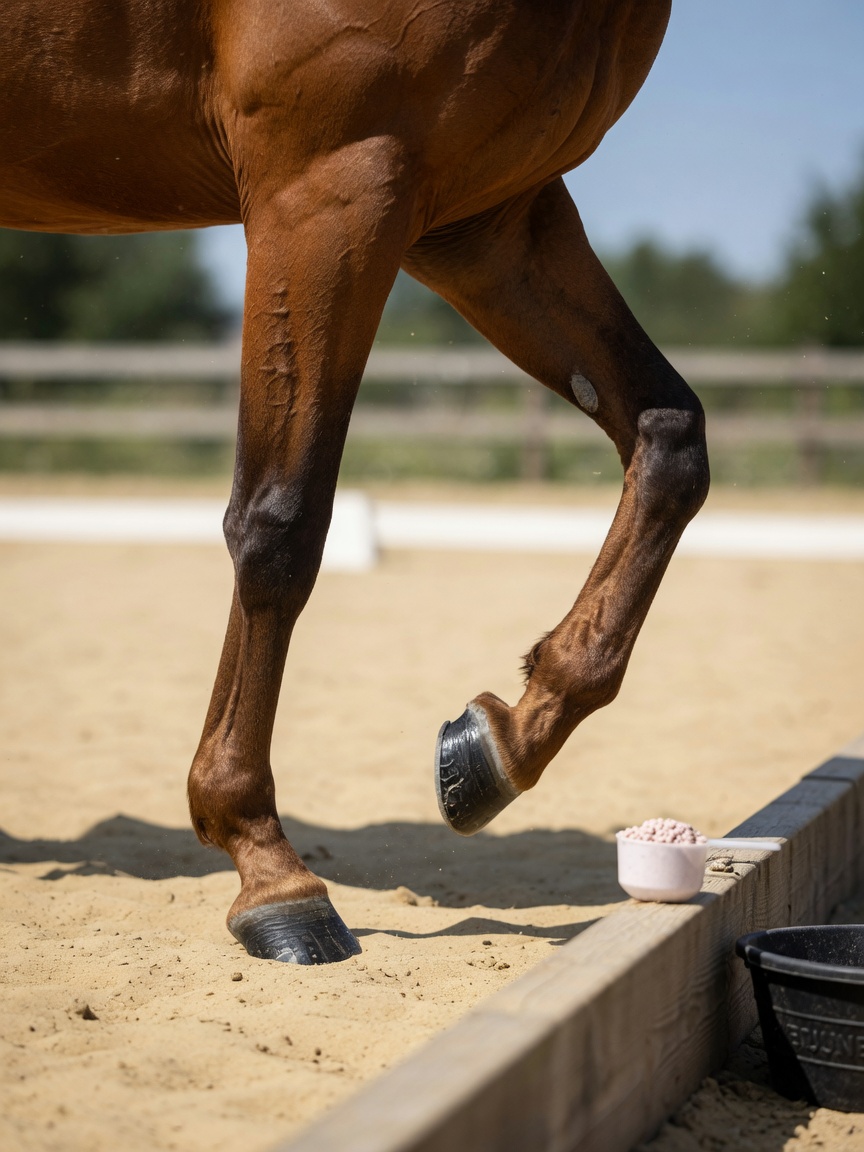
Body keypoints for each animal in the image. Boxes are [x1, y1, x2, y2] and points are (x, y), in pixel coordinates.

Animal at [2, 0, 709, 964]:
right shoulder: (330, 181)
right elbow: (280, 522)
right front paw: (267, 866)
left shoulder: (489, 218)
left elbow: (669, 440)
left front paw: (494, 745)